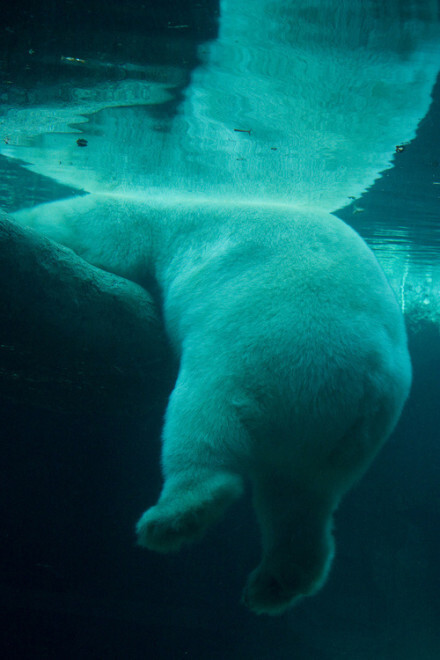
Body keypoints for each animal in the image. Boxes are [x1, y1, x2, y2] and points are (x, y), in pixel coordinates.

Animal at [14, 195, 412, 612]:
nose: (16, 214)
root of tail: (370, 382)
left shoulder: (133, 226)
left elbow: (111, 248)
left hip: (267, 353)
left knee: (202, 424)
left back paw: (171, 518)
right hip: (341, 439)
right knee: (299, 497)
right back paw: (275, 582)